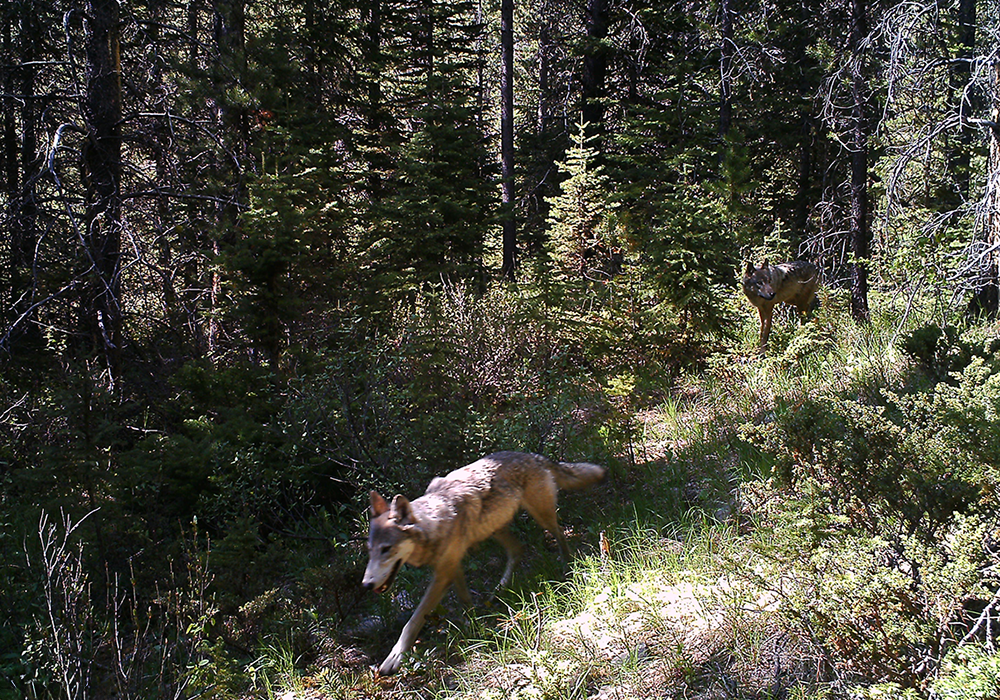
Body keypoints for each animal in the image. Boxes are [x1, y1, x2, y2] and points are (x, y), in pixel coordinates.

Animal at [362, 451, 606, 675]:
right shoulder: (451, 567)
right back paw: (498, 591)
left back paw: (566, 567)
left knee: (559, 535)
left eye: (386, 549)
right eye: (370, 550)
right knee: (518, 549)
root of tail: (532, 455)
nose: (366, 585)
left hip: (541, 517)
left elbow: (412, 621)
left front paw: (394, 658)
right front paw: (473, 624)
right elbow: (465, 600)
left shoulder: (443, 574)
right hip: (495, 528)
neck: (434, 523)